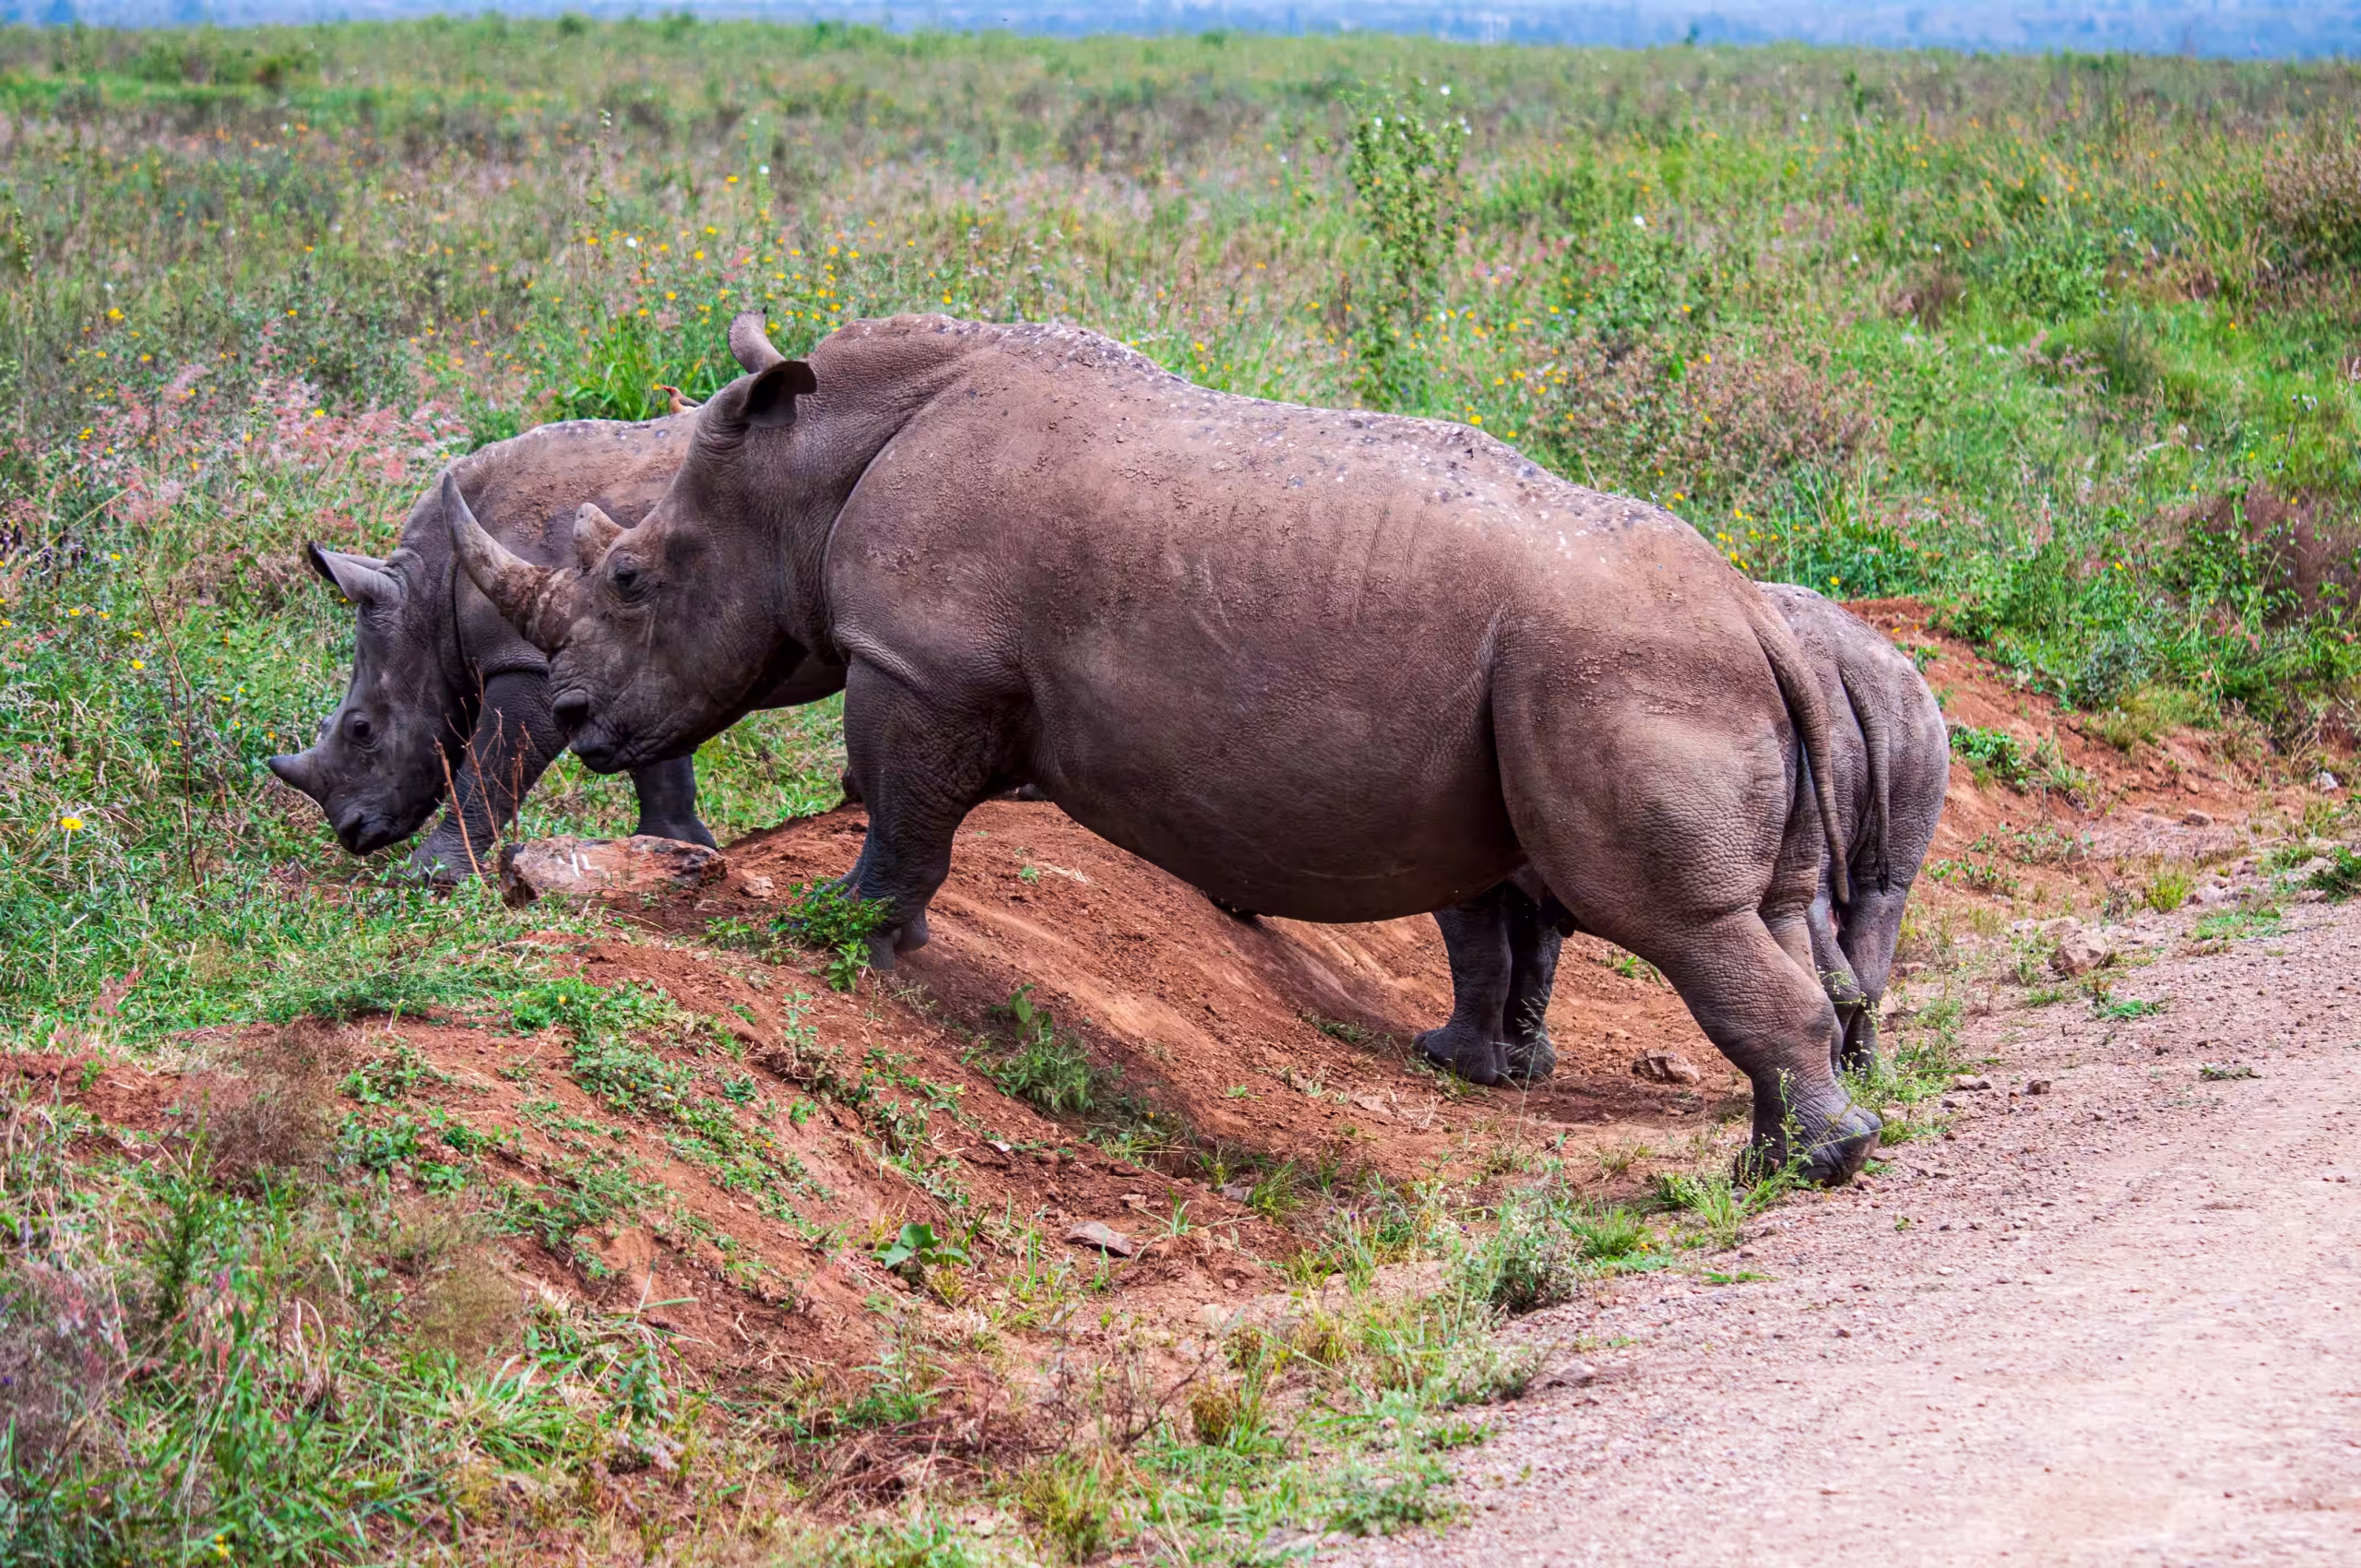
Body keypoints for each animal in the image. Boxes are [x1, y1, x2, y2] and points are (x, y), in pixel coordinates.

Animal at [266, 414, 844, 878]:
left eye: (361, 729)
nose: (352, 832)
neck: (427, 596)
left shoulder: (535, 662)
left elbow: (491, 765)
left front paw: (428, 877)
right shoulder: (633, 653)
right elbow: (656, 759)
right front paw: (671, 847)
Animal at [449, 312, 1880, 1182]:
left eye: (631, 577)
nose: (571, 720)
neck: (808, 468)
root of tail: (1754, 611)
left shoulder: (922, 663)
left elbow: (900, 815)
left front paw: (838, 933)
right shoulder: (936, 668)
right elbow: (908, 811)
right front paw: (863, 936)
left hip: (1610, 662)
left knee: (1676, 919)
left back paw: (1809, 1164)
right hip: (1651, 667)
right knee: (1747, 912)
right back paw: (1784, 1154)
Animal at [1419, 585, 1948, 1087]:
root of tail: (1850, 665)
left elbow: (1481, 948)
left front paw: (1451, 1062)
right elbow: (1533, 956)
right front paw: (1528, 1068)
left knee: (1811, 901)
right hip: (1915, 719)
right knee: (1882, 898)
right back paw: (1866, 1079)